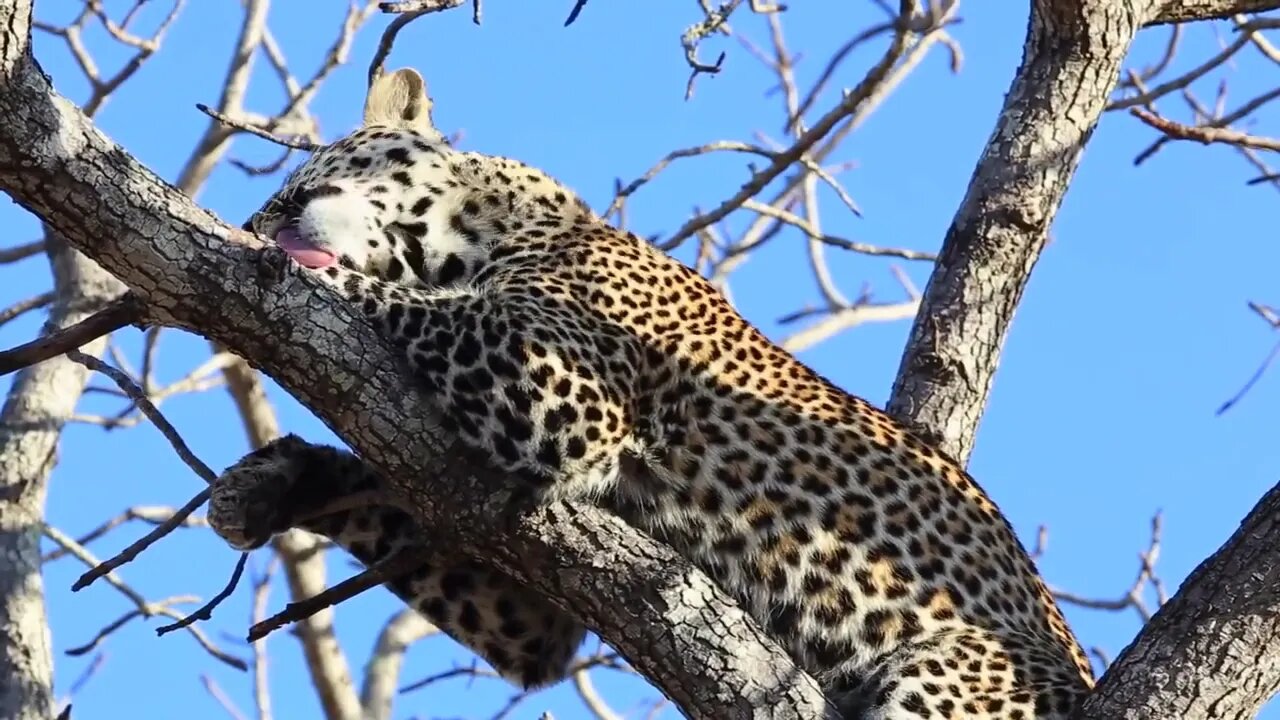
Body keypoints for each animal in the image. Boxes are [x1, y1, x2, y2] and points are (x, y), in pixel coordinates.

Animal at [204, 65, 1095, 712]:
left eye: (294, 192)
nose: (256, 225)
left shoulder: (565, 388)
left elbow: (400, 301)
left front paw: (281, 270)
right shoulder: (531, 606)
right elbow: (393, 510)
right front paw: (274, 483)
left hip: (950, 671)